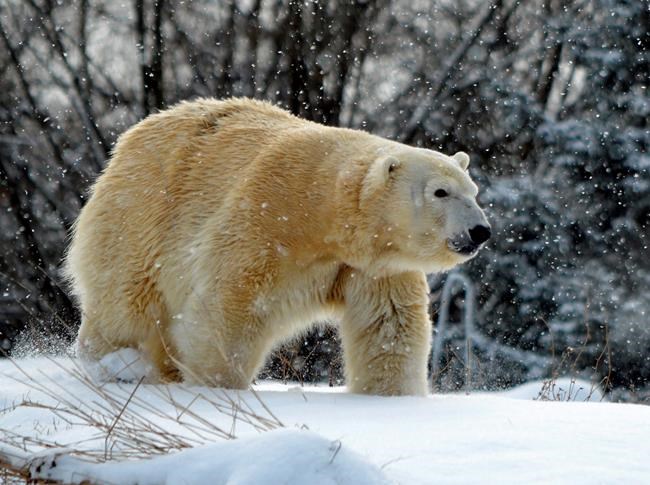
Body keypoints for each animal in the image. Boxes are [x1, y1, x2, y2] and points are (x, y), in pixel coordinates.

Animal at [64, 98, 490, 396]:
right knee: (124, 301)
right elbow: (229, 305)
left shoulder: (375, 266)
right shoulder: (266, 218)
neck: (324, 212)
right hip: (141, 215)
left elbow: (389, 326)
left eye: (473, 191)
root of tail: (129, 140)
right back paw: (116, 364)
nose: (480, 231)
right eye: (440, 191)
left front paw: (394, 397)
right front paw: (215, 385)